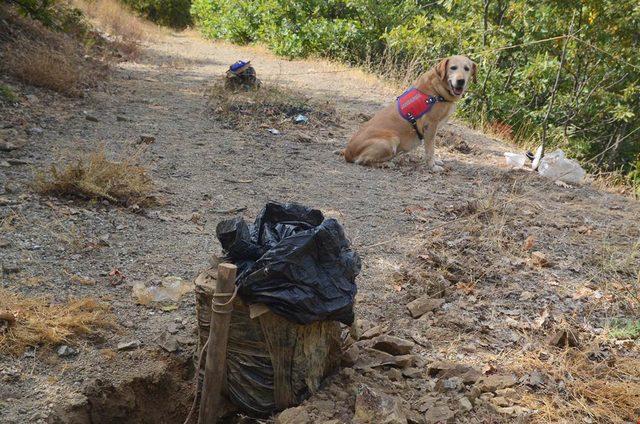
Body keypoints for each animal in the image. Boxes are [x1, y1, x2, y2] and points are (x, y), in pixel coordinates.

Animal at [344, 55, 476, 171]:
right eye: (453, 67)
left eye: (467, 68)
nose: (461, 81)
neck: (437, 90)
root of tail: (347, 153)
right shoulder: (430, 126)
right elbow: (430, 150)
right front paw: (432, 166)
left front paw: (436, 161)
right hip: (392, 139)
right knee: (362, 160)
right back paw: (387, 164)